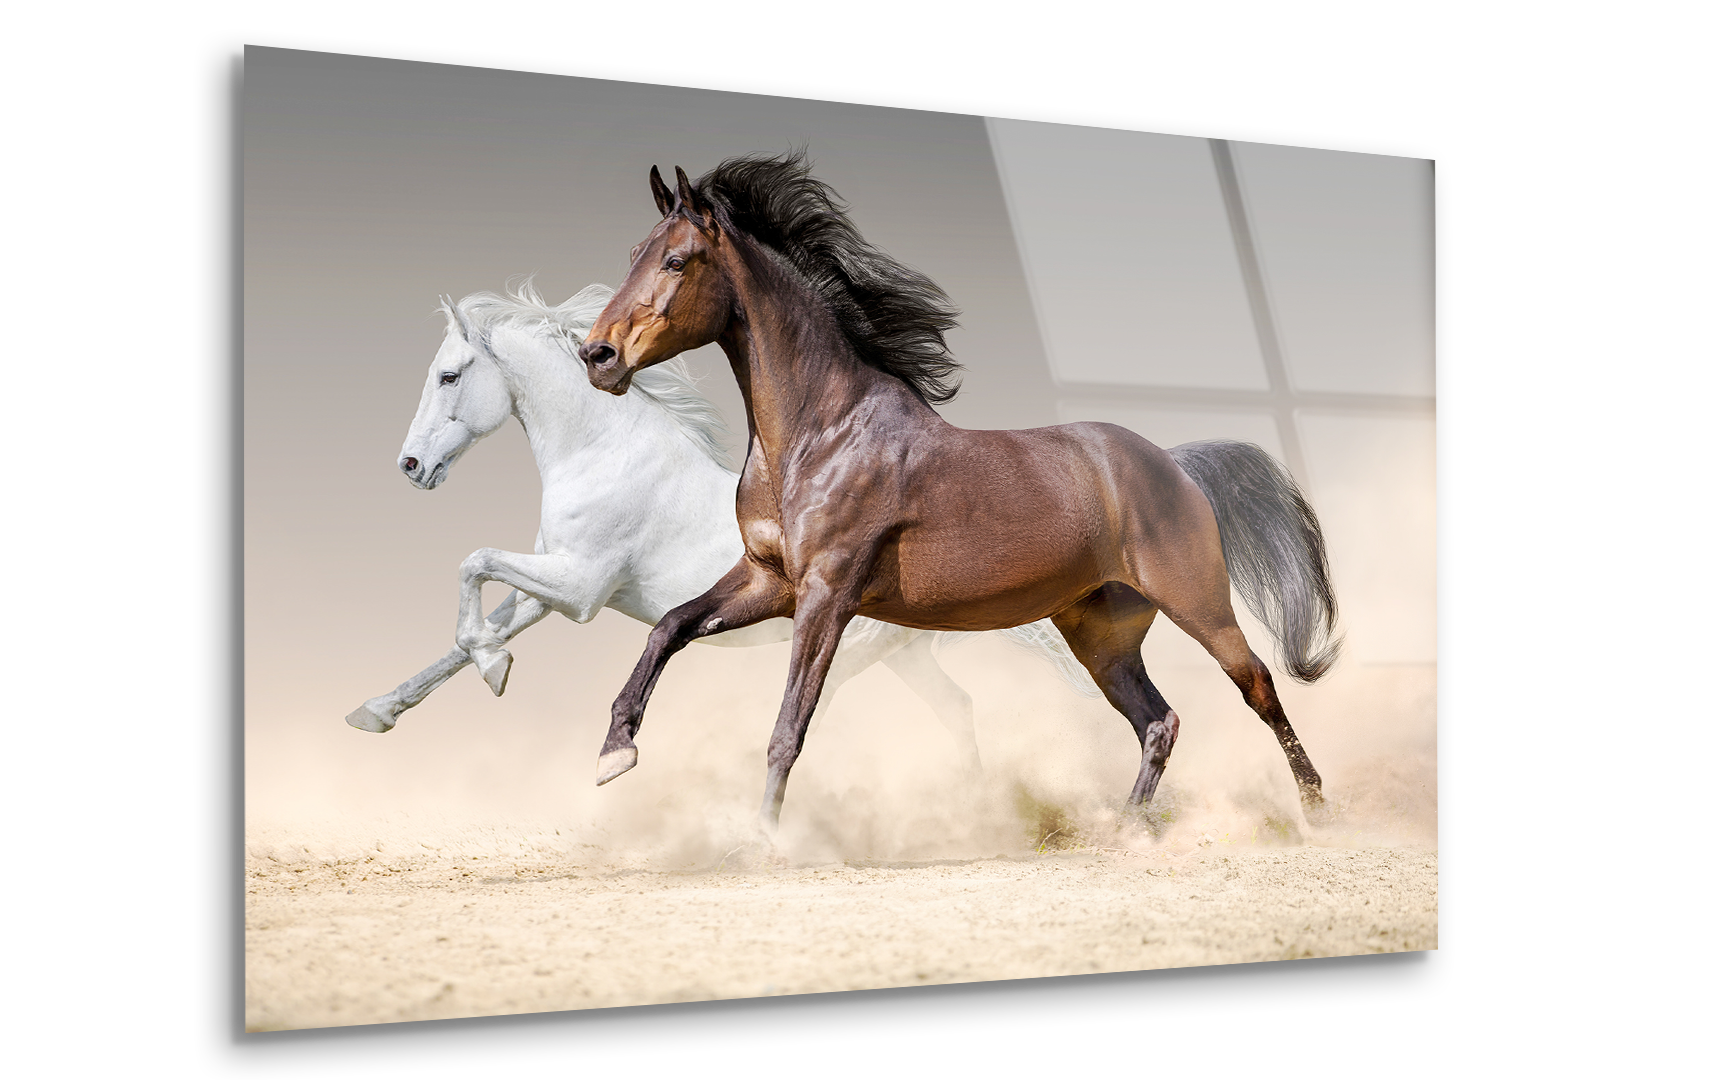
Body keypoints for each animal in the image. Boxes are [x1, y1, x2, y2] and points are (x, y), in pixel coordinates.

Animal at [345, 277, 1097, 770]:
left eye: (448, 376)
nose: (410, 465)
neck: (604, 452)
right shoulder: (550, 587)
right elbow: (463, 634)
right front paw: (377, 711)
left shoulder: (580, 588)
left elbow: (471, 563)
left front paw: (495, 670)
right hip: (898, 653)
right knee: (957, 707)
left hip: (846, 644)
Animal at [575, 151, 1343, 835]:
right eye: (636, 253)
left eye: (677, 262)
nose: (597, 356)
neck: (818, 434)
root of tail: (1175, 466)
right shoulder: (771, 580)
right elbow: (670, 626)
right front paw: (616, 752)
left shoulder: (826, 595)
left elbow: (788, 725)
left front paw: (763, 840)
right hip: (1100, 635)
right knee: (1158, 721)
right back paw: (1125, 830)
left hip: (1199, 605)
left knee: (1259, 687)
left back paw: (1317, 811)